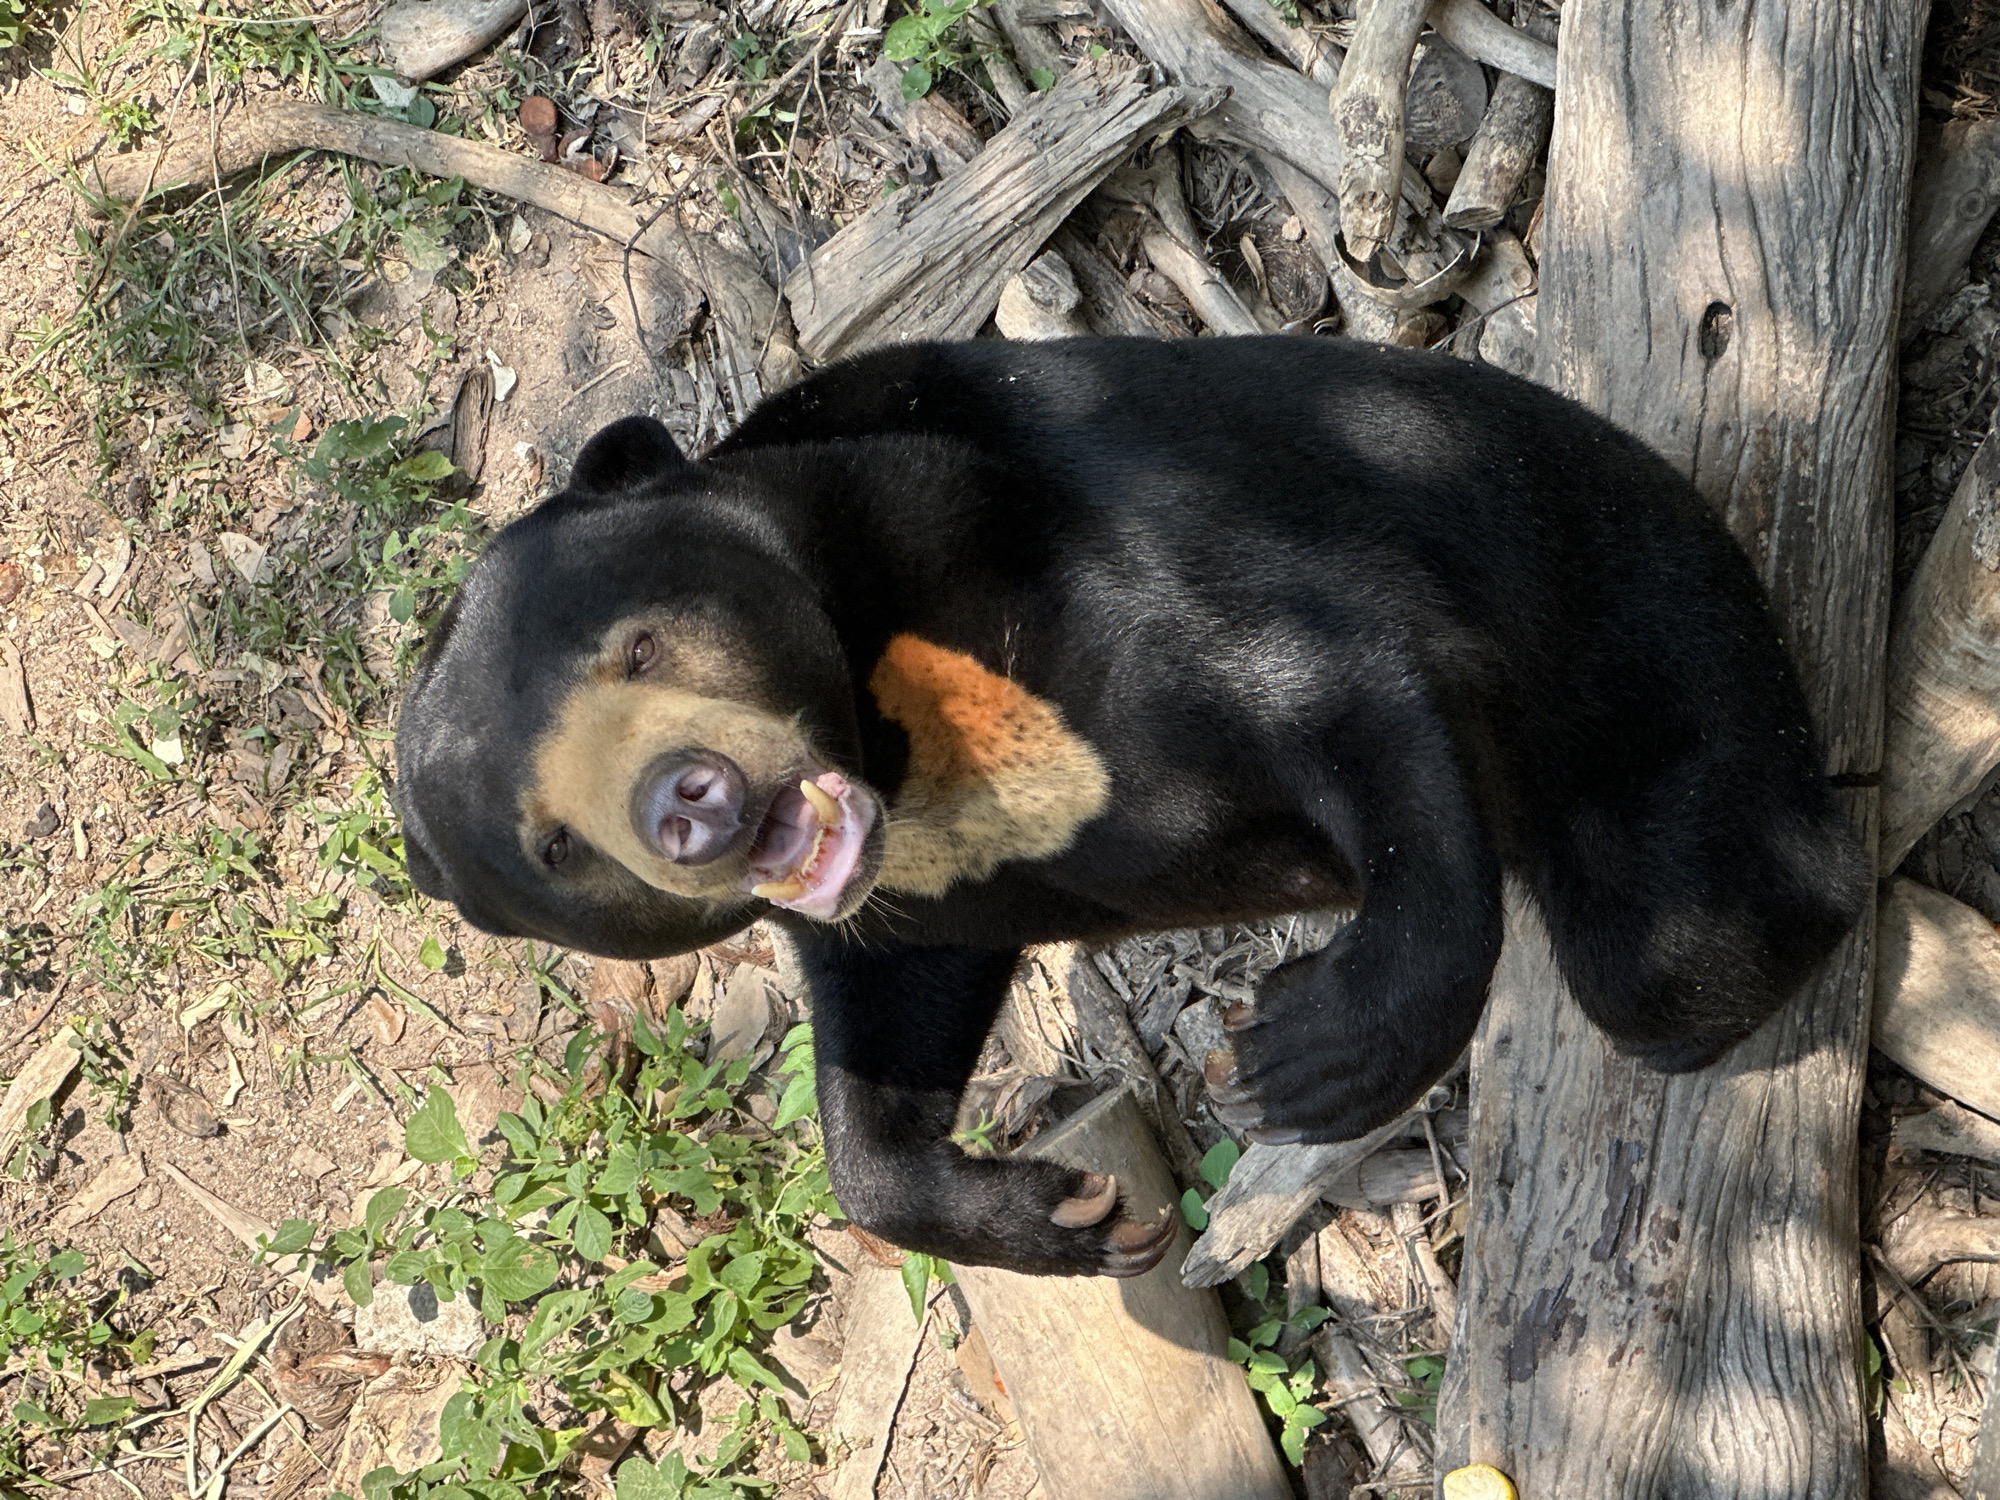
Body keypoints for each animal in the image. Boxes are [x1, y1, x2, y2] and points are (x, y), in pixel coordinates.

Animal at [394, 336, 1870, 1278]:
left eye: (638, 647)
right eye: (553, 844)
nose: (691, 805)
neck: (890, 721)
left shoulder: (1074, 535)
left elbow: (1335, 678)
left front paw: (1298, 1054)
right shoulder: (913, 897)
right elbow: (887, 1055)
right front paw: (1079, 1219)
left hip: (1656, 644)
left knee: (1681, 949)